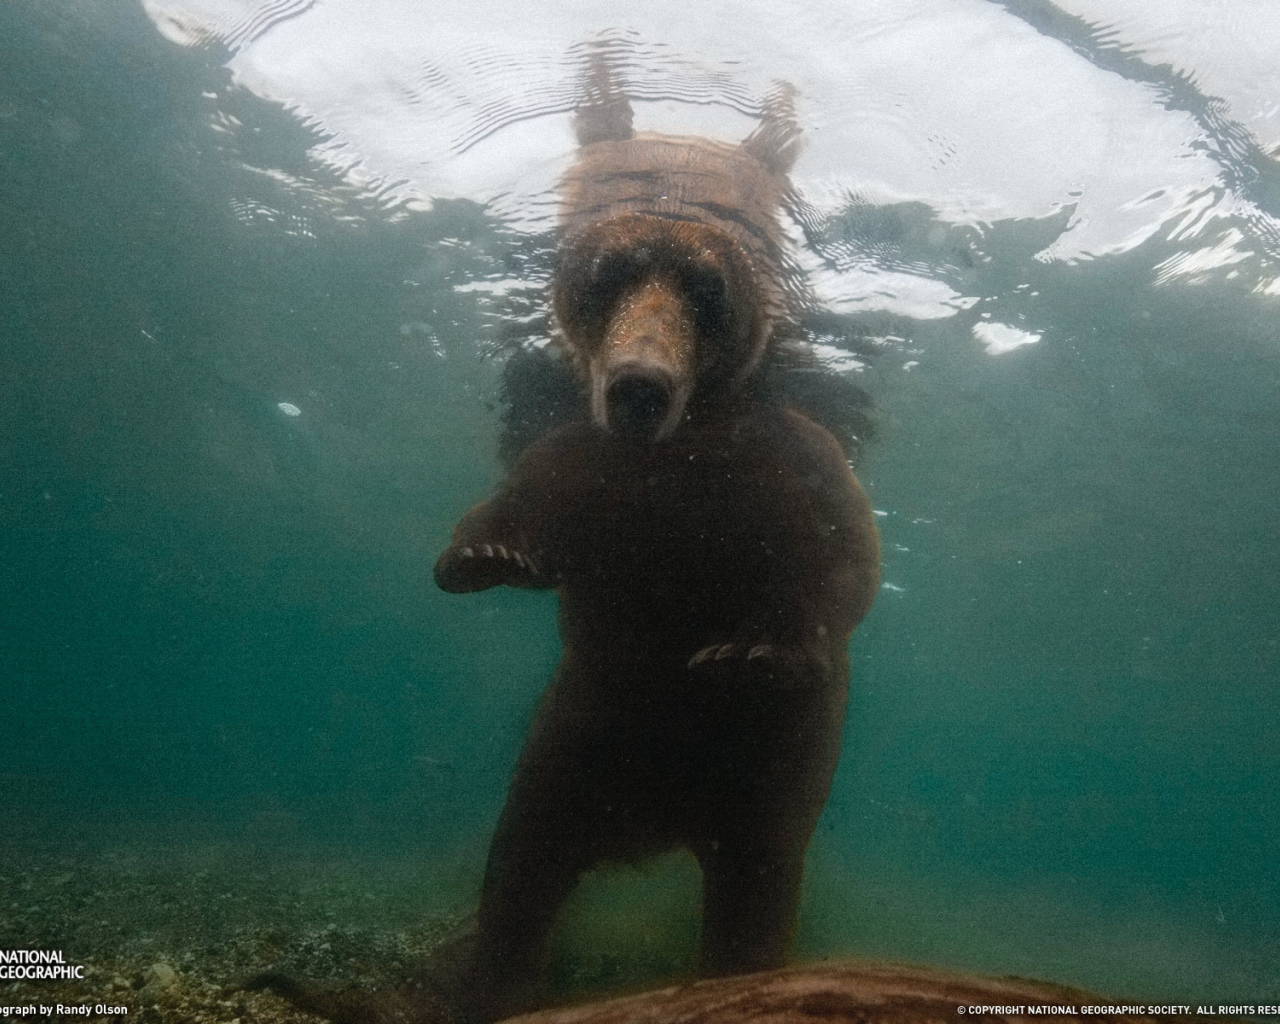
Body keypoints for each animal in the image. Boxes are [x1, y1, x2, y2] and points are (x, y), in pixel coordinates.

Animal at [427, 60, 882, 1024]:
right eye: (608, 274)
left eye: (706, 289)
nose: (640, 384)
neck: (680, 453)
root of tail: (656, 823)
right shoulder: (592, 467)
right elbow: (527, 504)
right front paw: (484, 557)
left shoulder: (785, 463)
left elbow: (839, 561)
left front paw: (754, 647)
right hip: (580, 729)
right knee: (524, 859)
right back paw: (489, 978)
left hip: (766, 771)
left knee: (755, 884)